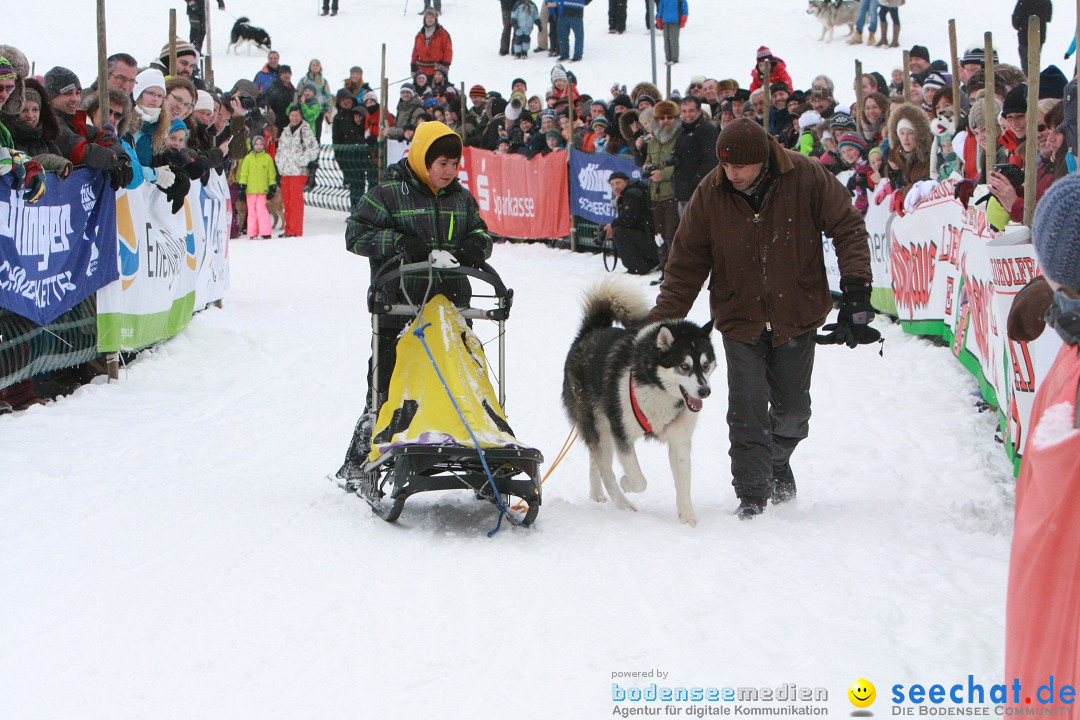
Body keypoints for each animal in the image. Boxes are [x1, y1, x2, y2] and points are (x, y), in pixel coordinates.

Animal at [561, 278, 712, 526]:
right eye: (684, 366)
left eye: (706, 364)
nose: (705, 391)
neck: (658, 388)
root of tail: (590, 332)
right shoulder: (622, 433)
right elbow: (639, 480)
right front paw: (626, 483)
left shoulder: (680, 440)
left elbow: (683, 484)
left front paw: (688, 518)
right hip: (598, 423)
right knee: (605, 468)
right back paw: (622, 502)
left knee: (596, 461)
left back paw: (597, 494)